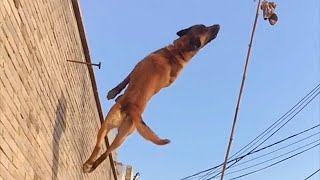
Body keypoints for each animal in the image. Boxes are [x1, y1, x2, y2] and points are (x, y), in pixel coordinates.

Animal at [83, 23, 220, 173]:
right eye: (205, 27)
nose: (218, 25)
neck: (177, 53)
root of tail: (133, 109)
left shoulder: (135, 68)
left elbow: (124, 82)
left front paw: (113, 93)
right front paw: (116, 94)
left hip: (108, 124)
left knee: (98, 147)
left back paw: (86, 165)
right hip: (121, 137)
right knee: (104, 154)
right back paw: (90, 167)